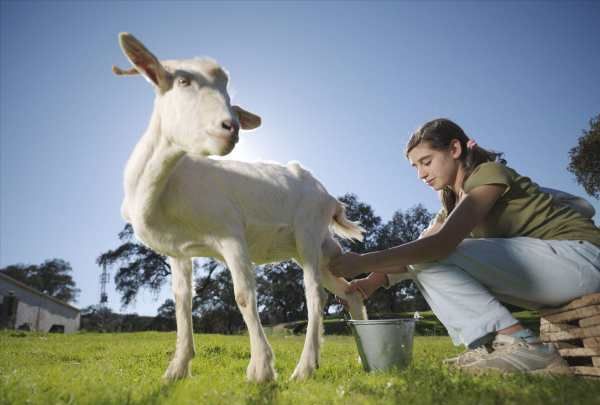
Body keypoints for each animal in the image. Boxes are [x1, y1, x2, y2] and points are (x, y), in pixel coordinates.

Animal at [112, 32, 366, 382]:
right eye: (183, 80)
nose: (229, 126)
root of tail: (329, 197)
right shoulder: (178, 252)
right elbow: (182, 303)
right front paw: (176, 369)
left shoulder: (230, 234)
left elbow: (243, 295)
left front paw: (261, 369)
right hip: (318, 248)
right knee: (349, 289)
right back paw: (362, 357)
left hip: (308, 232)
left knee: (316, 294)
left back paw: (303, 368)